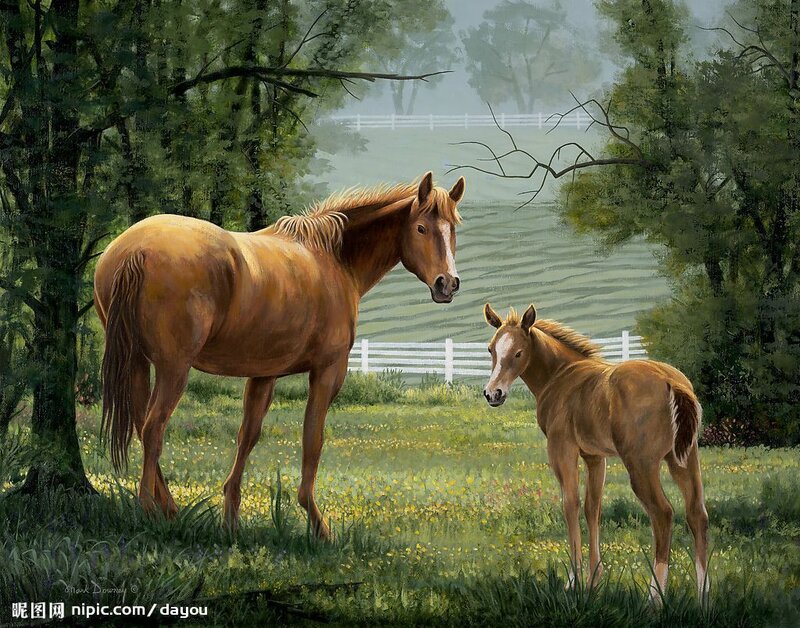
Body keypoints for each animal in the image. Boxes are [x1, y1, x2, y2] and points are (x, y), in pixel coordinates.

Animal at [94, 172, 466, 538]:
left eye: (453, 228)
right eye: (421, 228)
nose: (447, 284)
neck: (334, 259)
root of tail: (136, 250)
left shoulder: (264, 374)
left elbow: (248, 435)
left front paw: (231, 521)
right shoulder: (328, 372)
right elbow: (312, 440)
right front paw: (318, 524)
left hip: (138, 362)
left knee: (141, 422)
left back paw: (169, 508)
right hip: (174, 368)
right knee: (154, 428)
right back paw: (149, 511)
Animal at [482, 304, 709, 603]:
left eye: (518, 352)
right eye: (491, 349)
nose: (493, 394)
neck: (561, 375)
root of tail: (673, 382)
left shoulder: (562, 449)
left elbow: (571, 504)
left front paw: (574, 580)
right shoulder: (594, 457)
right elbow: (593, 507)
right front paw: (594, 580)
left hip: (642, 466)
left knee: (663, 514)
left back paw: (655, 599)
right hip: (683, 459)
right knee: (697, 515)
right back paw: (704, 600)